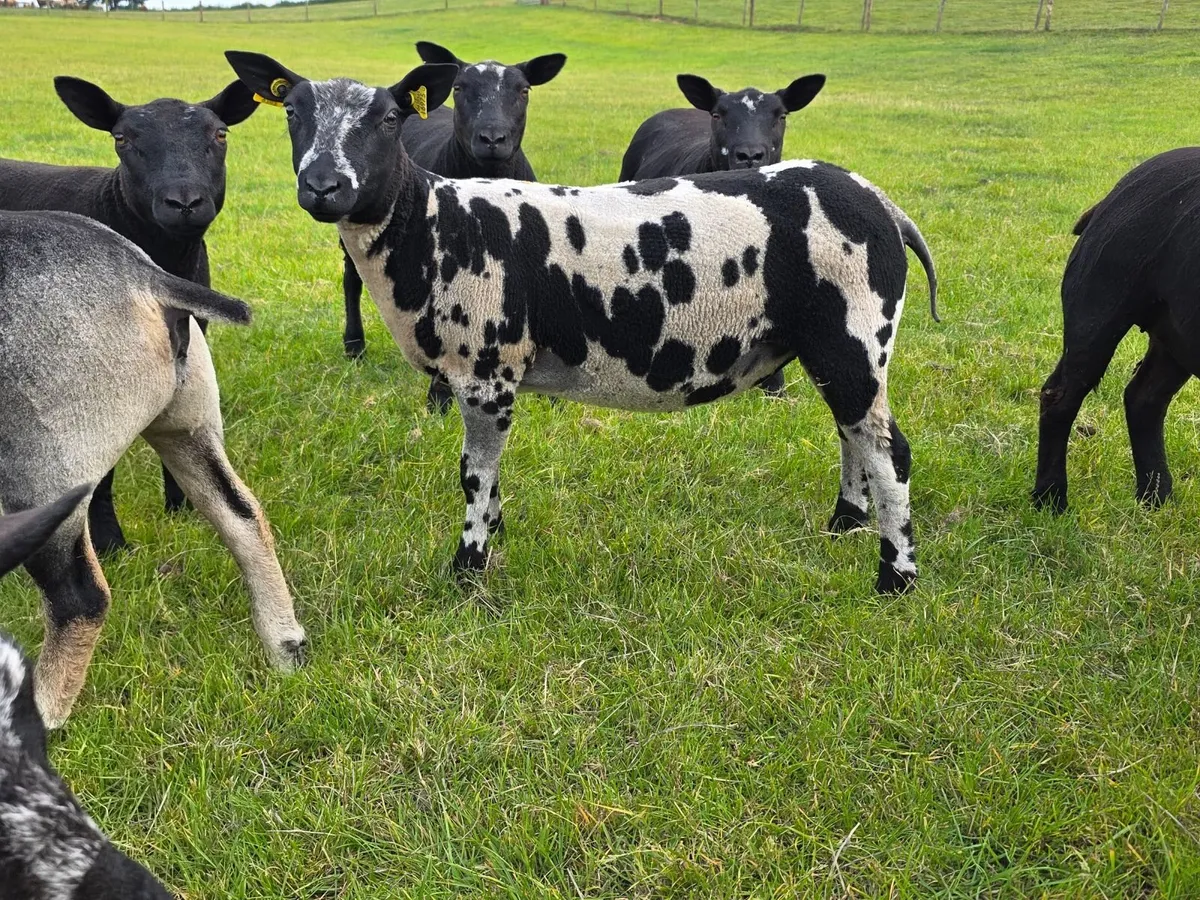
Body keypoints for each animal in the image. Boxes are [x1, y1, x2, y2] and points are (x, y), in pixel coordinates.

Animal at [0, 75, 259, 556]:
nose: (184, 202)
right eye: (122, 139)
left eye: (220, 134)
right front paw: (109, 542)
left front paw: (182, 508)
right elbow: (98, 473)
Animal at [0, 209, 305, 728]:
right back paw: (283, 642)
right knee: (243, 518)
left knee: (81, 600)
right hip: (187, 430)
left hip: (41, 484)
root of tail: (143, 276)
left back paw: (42, 713)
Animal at [340, 40, 566, 415]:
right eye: (460, 88)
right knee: (351, 281)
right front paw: (440, 397)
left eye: (524, 90)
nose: (492, 138)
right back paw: (354, 345)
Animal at [1034, 147, 1200, 512]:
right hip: (1097, 316)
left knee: (1145, 399)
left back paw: (1156, 497)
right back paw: (1051, 499)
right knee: (1060, 399)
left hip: (1176, 339)